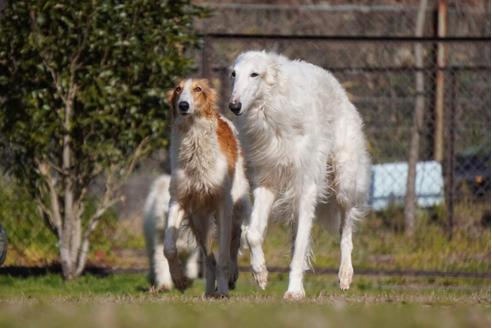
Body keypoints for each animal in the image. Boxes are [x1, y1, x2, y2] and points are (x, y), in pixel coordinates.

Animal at [164, 79, 252, 298]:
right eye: (177, 89)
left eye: (198, 89)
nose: (183, 105)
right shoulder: (178, 199)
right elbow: (168, 248)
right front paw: (179, 280)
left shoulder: (223, 204)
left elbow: (224, 257)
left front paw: (224, 290)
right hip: (199, 221)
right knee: (209, 258)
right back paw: (209, 290)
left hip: (236, 206)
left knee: (234, 241)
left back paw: (232, 278)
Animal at [229, 50, 370, 300]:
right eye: (233, 74)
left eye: (254, 74)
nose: (233, 105)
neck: (272, 110)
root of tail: (340, 89)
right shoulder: (266, 183)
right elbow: (253, 233)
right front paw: (260, 273)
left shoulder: (307, 188)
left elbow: (303, 243)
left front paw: (294, 290)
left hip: (344, 183)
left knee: (346, 228)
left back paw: (345, 274)